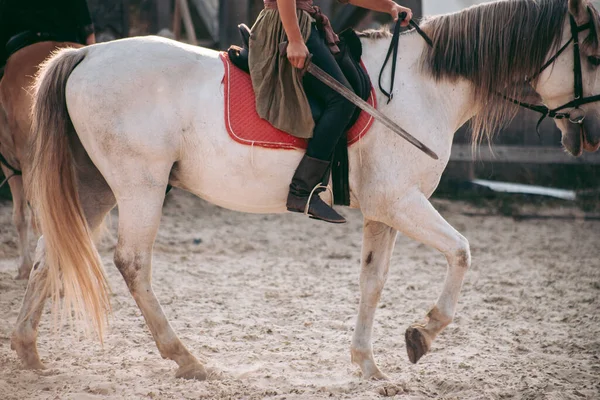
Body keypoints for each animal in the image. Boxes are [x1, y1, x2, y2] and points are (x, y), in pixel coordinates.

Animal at [11, 0, 600, 382]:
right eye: (593, 58)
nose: (590, 133)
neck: (421, 87)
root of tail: (87, 56)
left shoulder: (383, 210)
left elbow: (372, 282)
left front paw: (368, 365)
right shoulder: (402, 201)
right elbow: (461, 252)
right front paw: (422, 335)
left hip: (95, 185)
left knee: (49, 255)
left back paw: (29, 352)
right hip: (140, 186)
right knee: (132, 262)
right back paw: (187, 359)